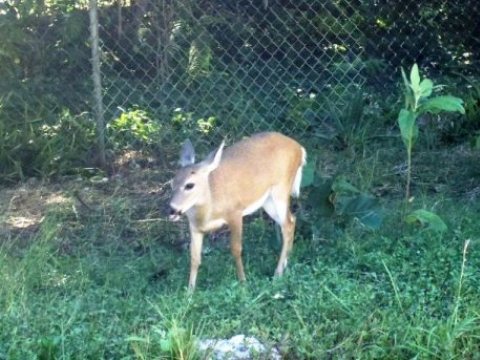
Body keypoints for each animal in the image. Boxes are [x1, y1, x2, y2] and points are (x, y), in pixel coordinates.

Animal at [167, 131, 306, 290]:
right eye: (172, 183)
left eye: (189, 185)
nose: (172, 209)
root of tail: (299, 149)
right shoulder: (194, 226)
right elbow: (194, 257)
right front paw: (190, 291)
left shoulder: (235, 212)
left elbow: (236, 249)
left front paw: (243, 282)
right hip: (268, 201)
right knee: (292, 220)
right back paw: (287, 262)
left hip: (280, 189)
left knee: (287, 224)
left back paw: (278, 273)